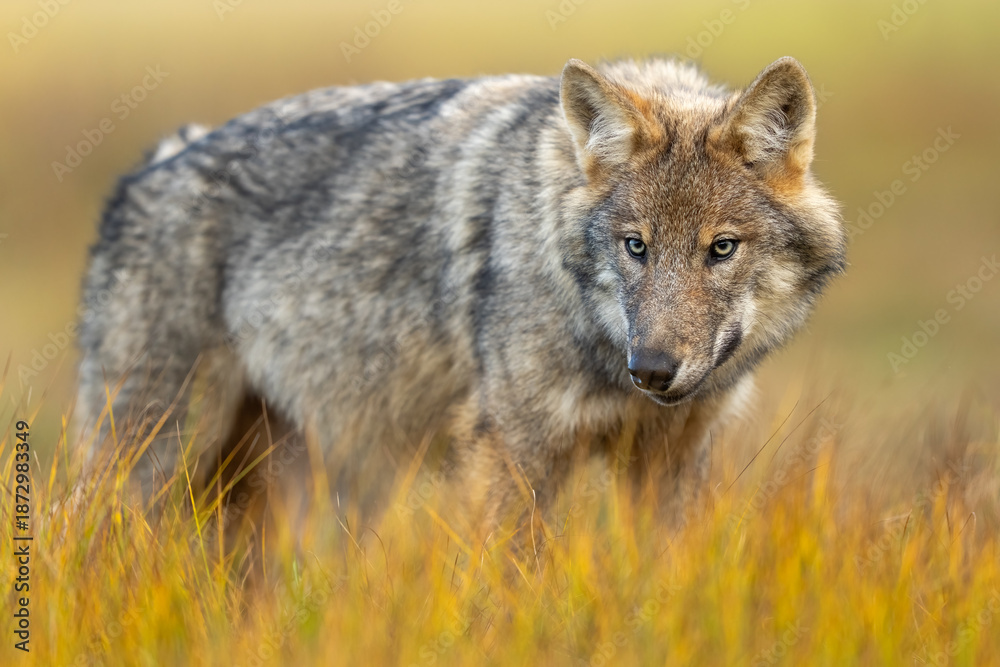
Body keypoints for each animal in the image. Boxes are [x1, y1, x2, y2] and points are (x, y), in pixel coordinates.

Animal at [76, 55, 845, 537]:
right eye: (636, 247)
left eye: (722, 248)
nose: (651, 370)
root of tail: (154, 163)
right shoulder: (510, 448)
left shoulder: (669, 461)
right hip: (152, 462)